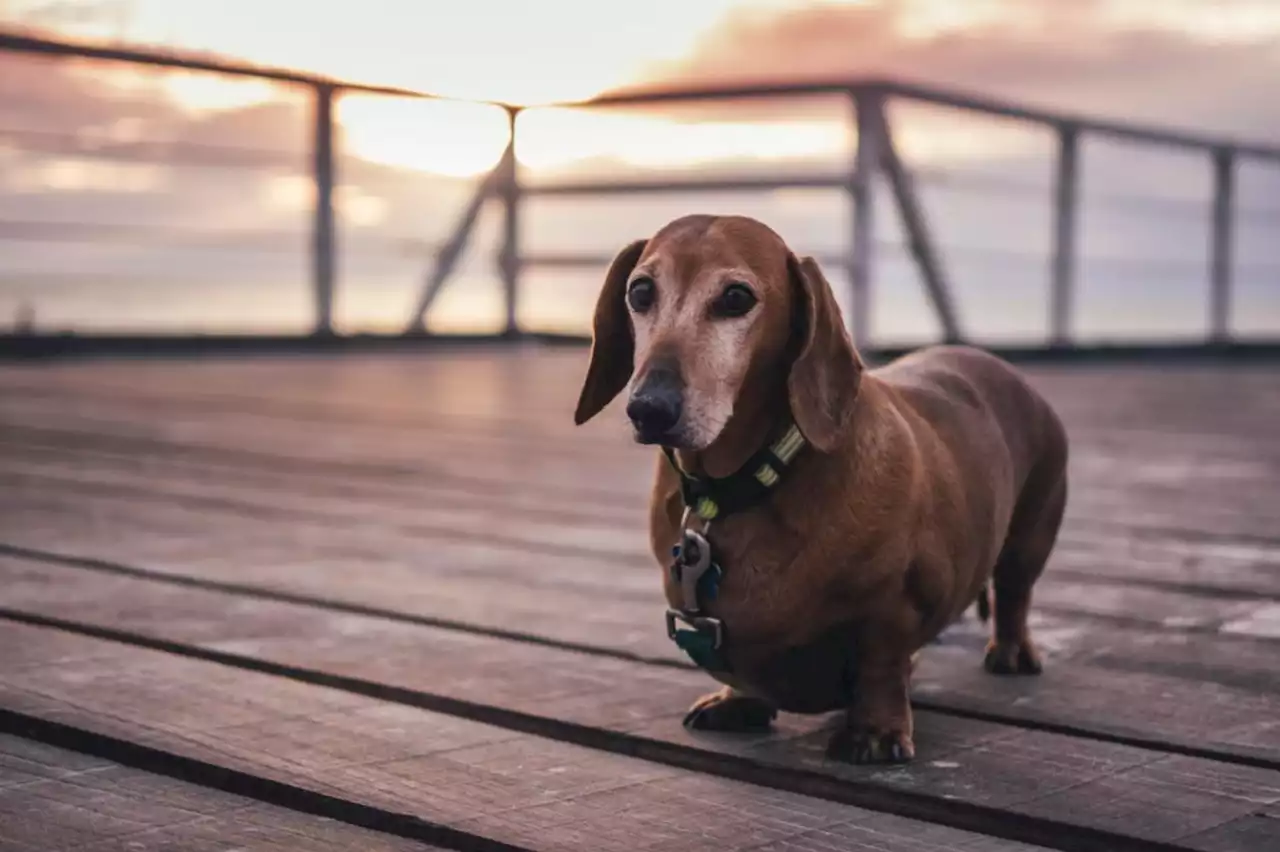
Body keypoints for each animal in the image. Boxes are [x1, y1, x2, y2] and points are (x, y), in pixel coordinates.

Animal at [576, 213, 1064, 762]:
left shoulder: (894, 605)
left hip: (1033, 530)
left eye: (736, 298)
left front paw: (875, 731)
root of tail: (996, 364)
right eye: (640, 291)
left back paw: (1010, 651)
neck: (740, 487)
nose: (649, 409)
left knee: (1015, 591)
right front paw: (736, 700)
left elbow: (882, 664)